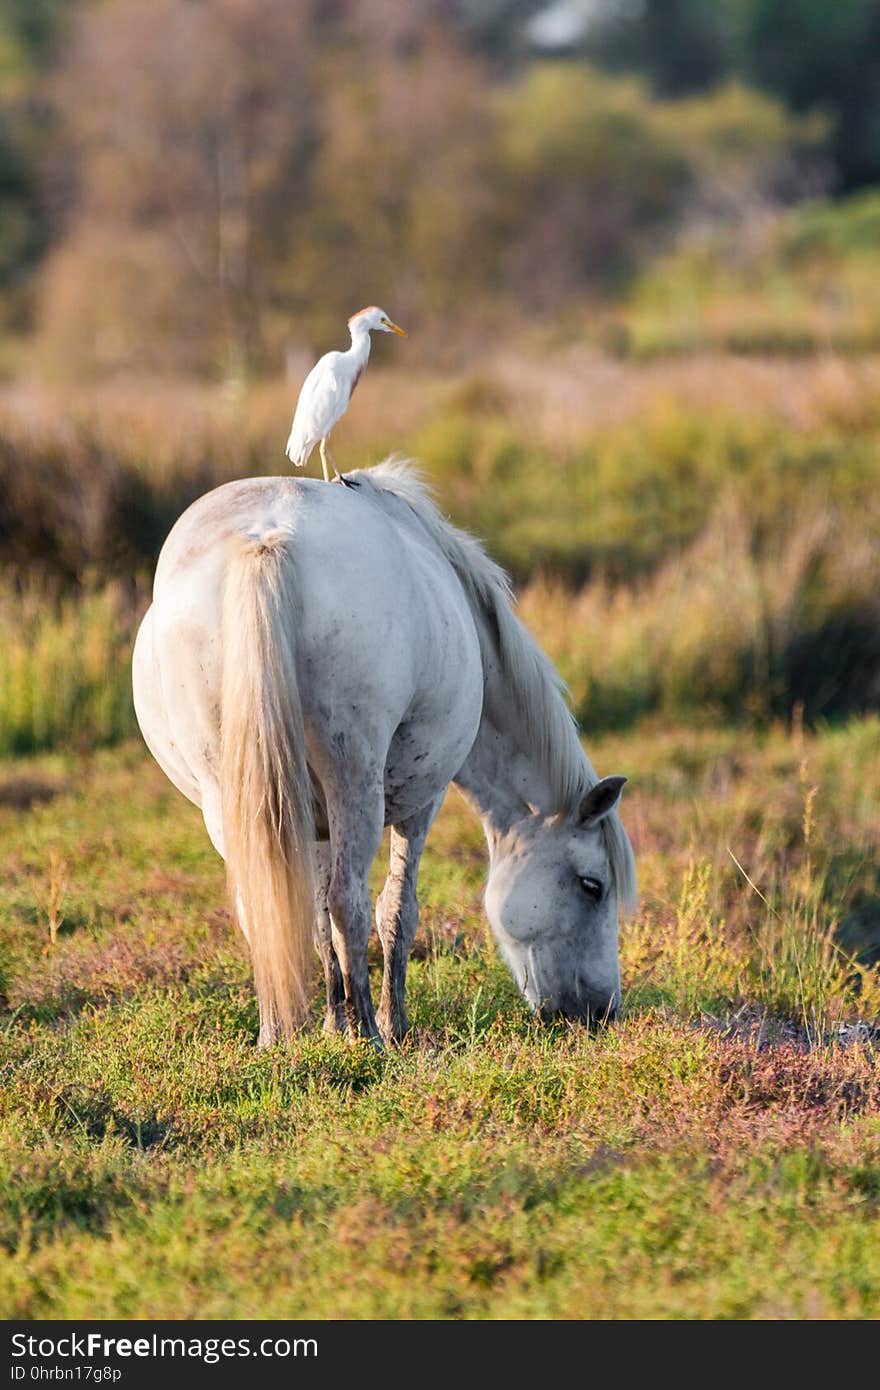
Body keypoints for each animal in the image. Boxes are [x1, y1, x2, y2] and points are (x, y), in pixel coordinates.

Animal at [134, 455, 633, 1045]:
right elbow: (396, 910)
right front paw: (391, 1026)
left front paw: (332, 1022)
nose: (600, 1011)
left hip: (228, 799)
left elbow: (315, 916)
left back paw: (280, 1036)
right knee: (350, 901)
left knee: (273, 905)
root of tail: (266, 541)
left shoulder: (311, 821)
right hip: (356, 782)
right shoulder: (423, 801)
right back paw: (370, 1033)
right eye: (592, 886)